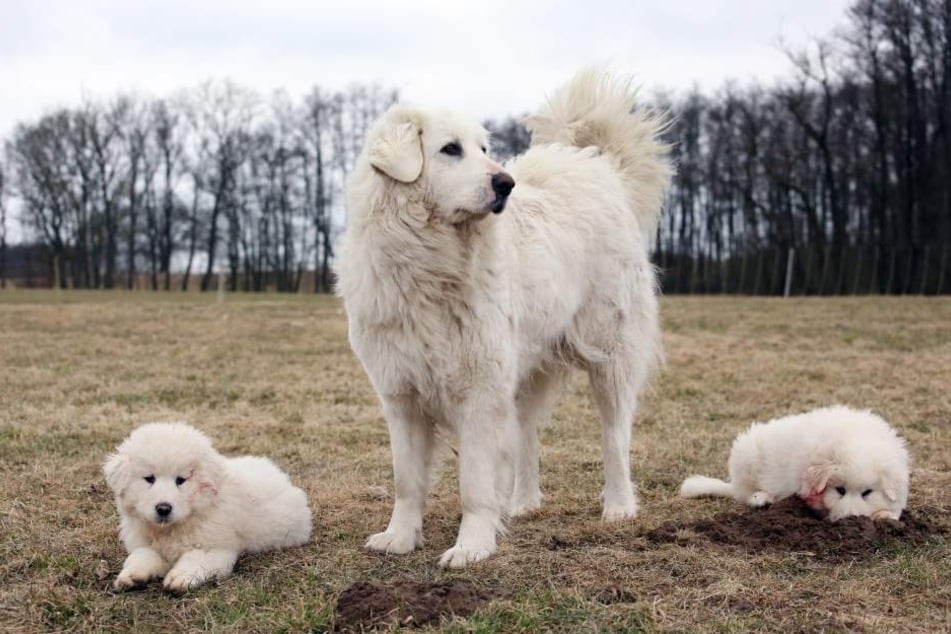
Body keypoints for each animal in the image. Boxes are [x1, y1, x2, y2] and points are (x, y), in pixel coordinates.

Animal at [103, 422, 312, 592]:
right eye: (149, 478)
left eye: (181, 480)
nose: (163, 508)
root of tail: (280, 474)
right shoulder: (146, 544)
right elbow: (141, 556)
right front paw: (131, 576)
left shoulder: (215, 548)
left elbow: (195, 559)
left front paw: (180, 577)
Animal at [338, 70, 672, 568]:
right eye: (450, 149)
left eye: (483, 148)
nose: (505, 183)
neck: (429, 266)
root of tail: (598, 168)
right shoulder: (401, 395)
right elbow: (407, 480)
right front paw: (399, 537)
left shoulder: (478, 389)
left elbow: (474, 482)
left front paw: (471, 546)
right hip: (523, 371)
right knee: (526, 437)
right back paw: (522, 503)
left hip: (609, 357)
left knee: (615, 437)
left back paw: (618, 507)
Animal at [680, 404, 912, 520]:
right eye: (840, 490)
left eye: (867, 493)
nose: (851, 519)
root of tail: (734, 484)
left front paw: (885, 515)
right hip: (746, 457)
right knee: (747, 495)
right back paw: (761, 498)